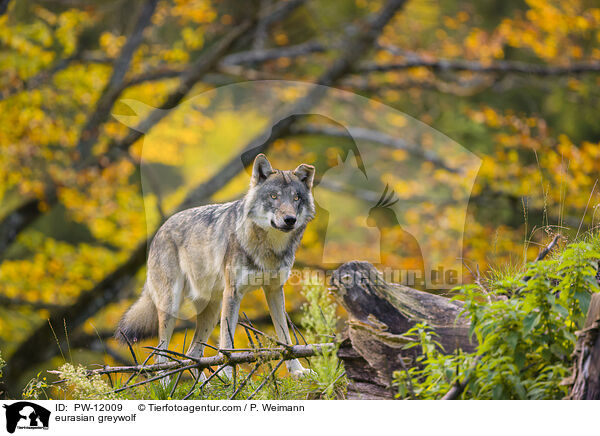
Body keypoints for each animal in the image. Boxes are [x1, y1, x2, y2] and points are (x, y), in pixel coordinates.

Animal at [114, 155, 316, 380]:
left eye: (296, 198)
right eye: (274, 196)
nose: (290, 220)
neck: (269, 248)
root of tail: (161, 229)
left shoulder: (274, 290)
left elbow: (285, 337)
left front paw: (297, 370)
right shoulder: (233, 293)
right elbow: (227, 342)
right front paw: (228, 373)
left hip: (212, 309)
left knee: (192, 354)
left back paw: (207, 386)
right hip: (172, 306)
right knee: (161, 357)